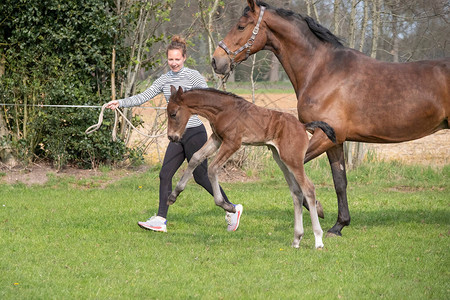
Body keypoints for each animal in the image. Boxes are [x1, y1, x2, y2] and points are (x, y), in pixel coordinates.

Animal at [212, 0, 450, 237]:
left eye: (241, 26)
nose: (216, 60)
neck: (322, 71)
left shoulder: (323, 136)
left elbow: (297, 173)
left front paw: (318, 208)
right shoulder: (334, 140)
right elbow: (339, 181)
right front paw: (339, 225)